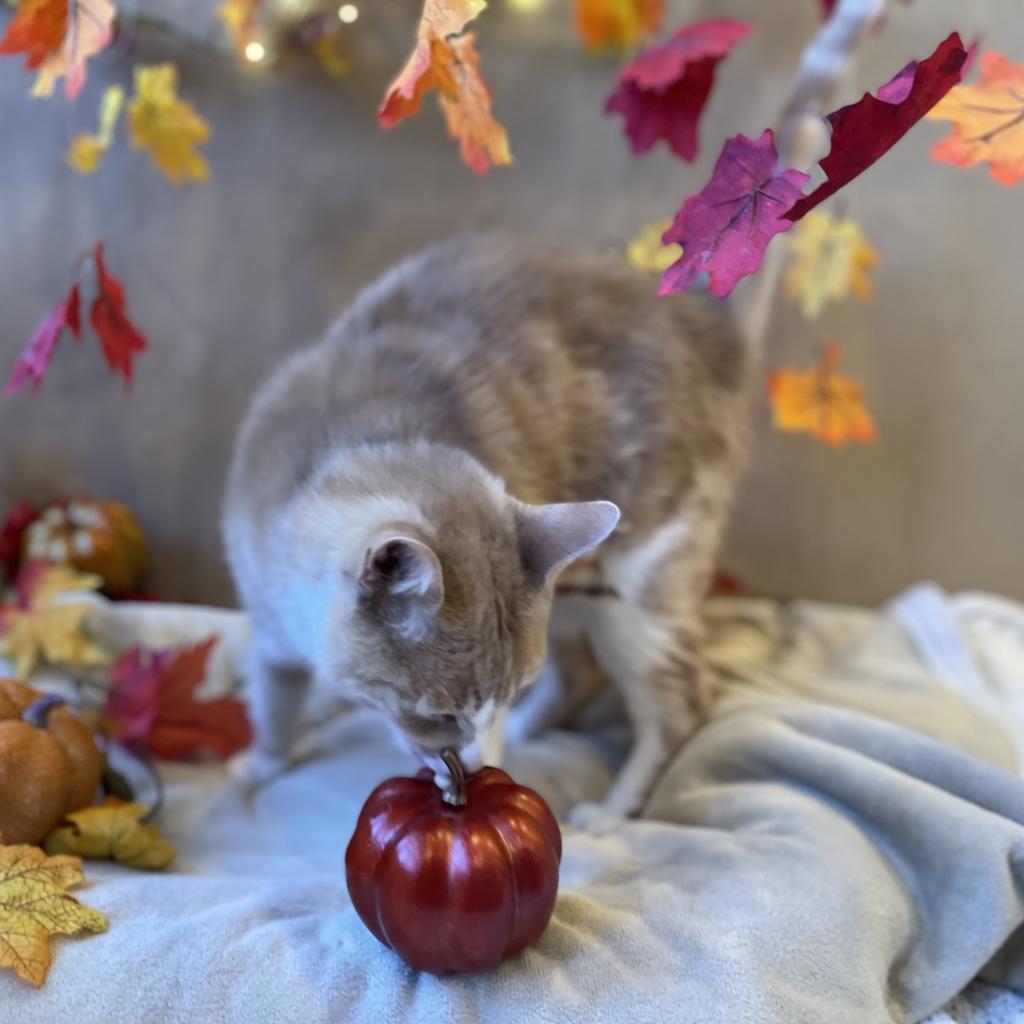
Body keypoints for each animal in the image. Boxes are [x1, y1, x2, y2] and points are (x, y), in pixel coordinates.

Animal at [224, 232, 753, 815]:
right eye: (438, 714)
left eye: (503, 697)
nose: (475, 769)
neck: (369, 437)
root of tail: (711, 323)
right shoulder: (268, 620)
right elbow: (274, 704)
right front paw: (263, 764)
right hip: (572, 591)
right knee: (582, 671)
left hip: (640, 594)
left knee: (679, 706)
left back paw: (612, 813)